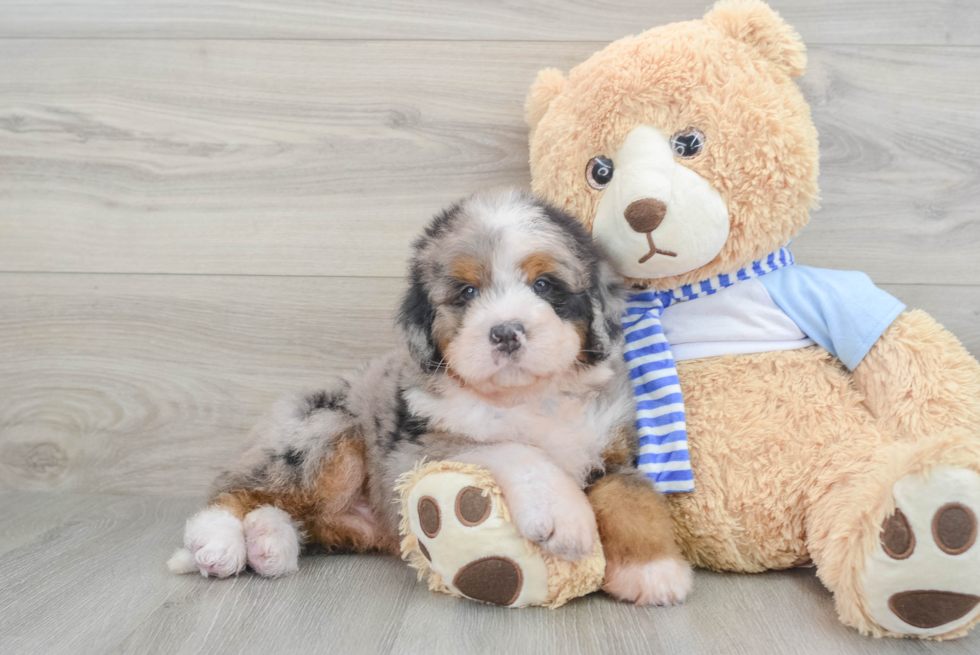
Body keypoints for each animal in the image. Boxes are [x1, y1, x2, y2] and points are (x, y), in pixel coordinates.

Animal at [168, 188, 688, 604]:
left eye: (544, 285)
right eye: (466, 292)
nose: (506, 332)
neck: (525, 397)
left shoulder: (612, 446)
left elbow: (631, 494)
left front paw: (653, 571)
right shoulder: (416, 452)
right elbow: (509, 447)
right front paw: (566, 515)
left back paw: (268, 543)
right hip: (325, 430)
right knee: (236, 488)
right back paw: (219, 541)